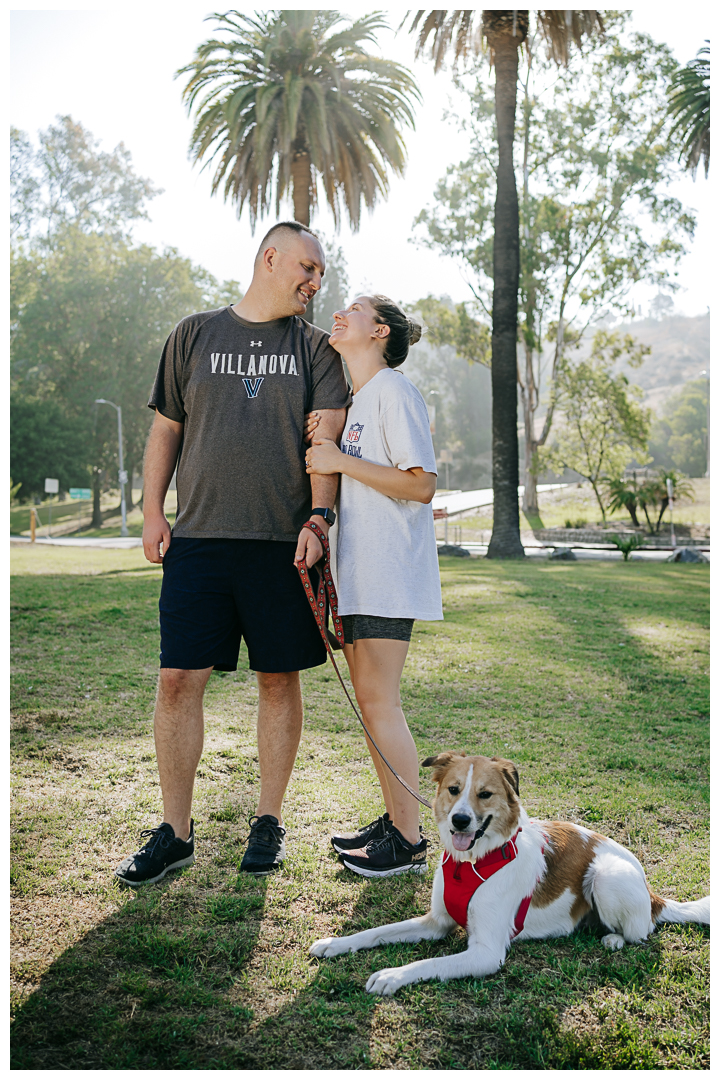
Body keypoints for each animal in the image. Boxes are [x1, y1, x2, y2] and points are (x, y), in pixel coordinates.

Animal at [310, 751, 708, 993]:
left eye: (485, 794)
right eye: (453, 789)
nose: (460, 820)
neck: (472, 864)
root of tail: (654, 894)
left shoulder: (486, 953)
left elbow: (428, 962)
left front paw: (392, 976)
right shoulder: (435, 922)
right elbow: (377, 932)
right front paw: (336, 944)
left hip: (605, 875)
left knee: (641, 931)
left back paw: (613, 939)